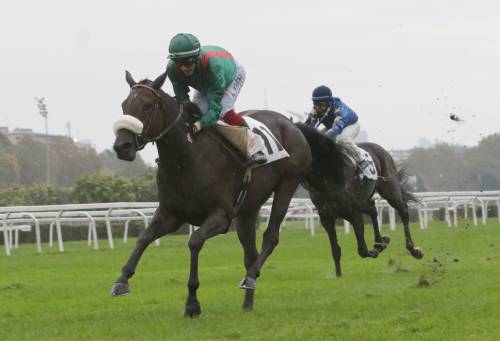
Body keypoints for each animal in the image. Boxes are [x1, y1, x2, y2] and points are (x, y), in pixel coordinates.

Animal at [111, 71, 310, 316]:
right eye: (124, 105)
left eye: (148, 106)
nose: (122, 146)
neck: (186, 159)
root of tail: (291, 124)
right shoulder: (171, 214)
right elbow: (144, 238)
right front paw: (121, 281)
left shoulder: (221, 216)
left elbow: (195, 241)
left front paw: (192, 303)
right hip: (248, 209)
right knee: (250, 253)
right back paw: (247, 302)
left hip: (287, 184)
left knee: (271, 237)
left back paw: (250, 278)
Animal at [294, 122, 424, 276]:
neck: (329, 178)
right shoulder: (326, 217)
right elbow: (335, 250)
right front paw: (338, 275)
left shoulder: (353, 213)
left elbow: (362, 250)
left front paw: (375, 250)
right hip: (364, 201)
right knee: (373, 208)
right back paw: (380, 242)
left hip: (390, 190)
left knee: (403, 211)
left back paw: (413, 249)